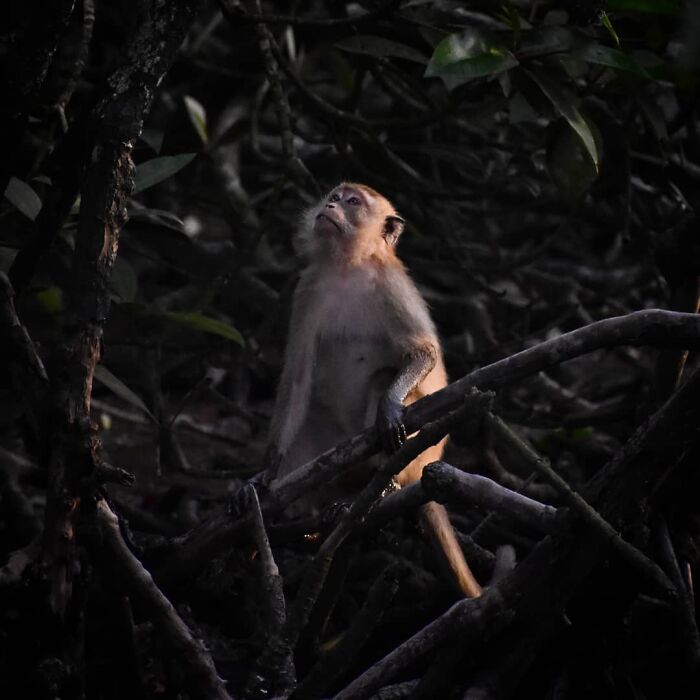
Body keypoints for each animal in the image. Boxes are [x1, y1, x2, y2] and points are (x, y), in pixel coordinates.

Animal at [267, 182, 482, 599]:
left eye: (353, 202)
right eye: (334, 196)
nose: (331, 206)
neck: (348, 267)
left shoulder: (389, 286)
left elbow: (423, 352)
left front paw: (389, 407)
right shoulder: (308, 288)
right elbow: (296, 379)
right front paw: (261, 477)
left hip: (420, 453)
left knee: (384, 377)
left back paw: (380, 488)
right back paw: (317, 510)